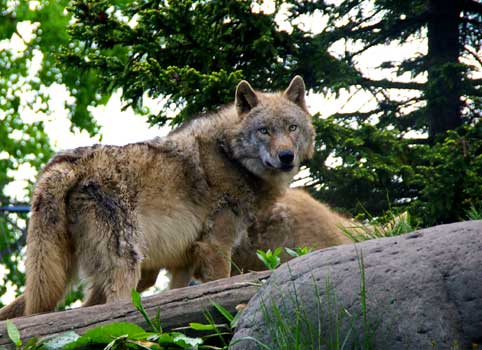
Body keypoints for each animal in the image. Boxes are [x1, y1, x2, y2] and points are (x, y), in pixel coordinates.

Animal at [0, 76, 316, 320]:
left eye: (292, 128)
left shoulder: (183, 262)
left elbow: (180, 296)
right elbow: (218, 286)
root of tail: (66, 164)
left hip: (70, 273)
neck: (229, 155)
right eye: (264, 131)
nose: (286, 156)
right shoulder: (216, 247)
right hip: (126, 268)